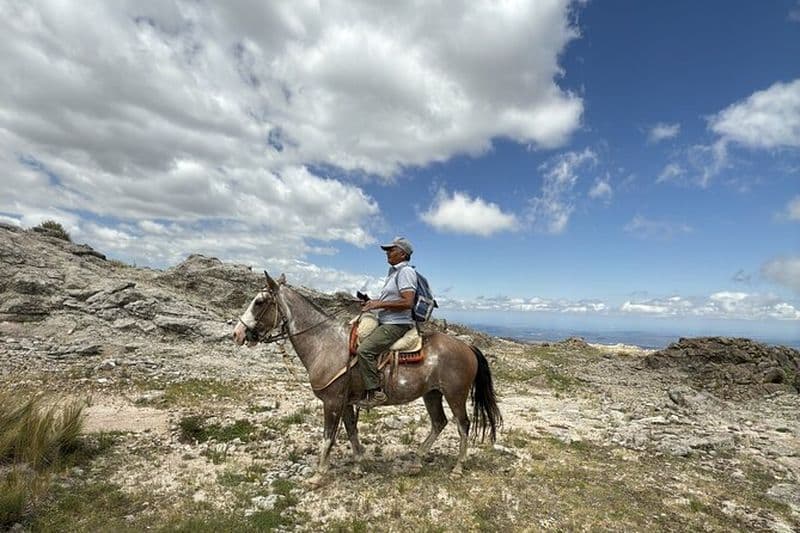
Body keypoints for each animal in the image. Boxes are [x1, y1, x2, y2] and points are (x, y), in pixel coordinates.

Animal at [232, 272, 501, 481]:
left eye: (259, 302)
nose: (237, 333)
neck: (325, 343)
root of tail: (467, 347)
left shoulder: (332, 402)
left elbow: (328, 438)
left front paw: (318, 475)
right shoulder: (346, 402)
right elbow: (352, 432)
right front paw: (358, 465)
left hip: (455, 394)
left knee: (463, 425)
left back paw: (457, 467)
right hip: (432, 394)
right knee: (439, 423)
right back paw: (417, 461)